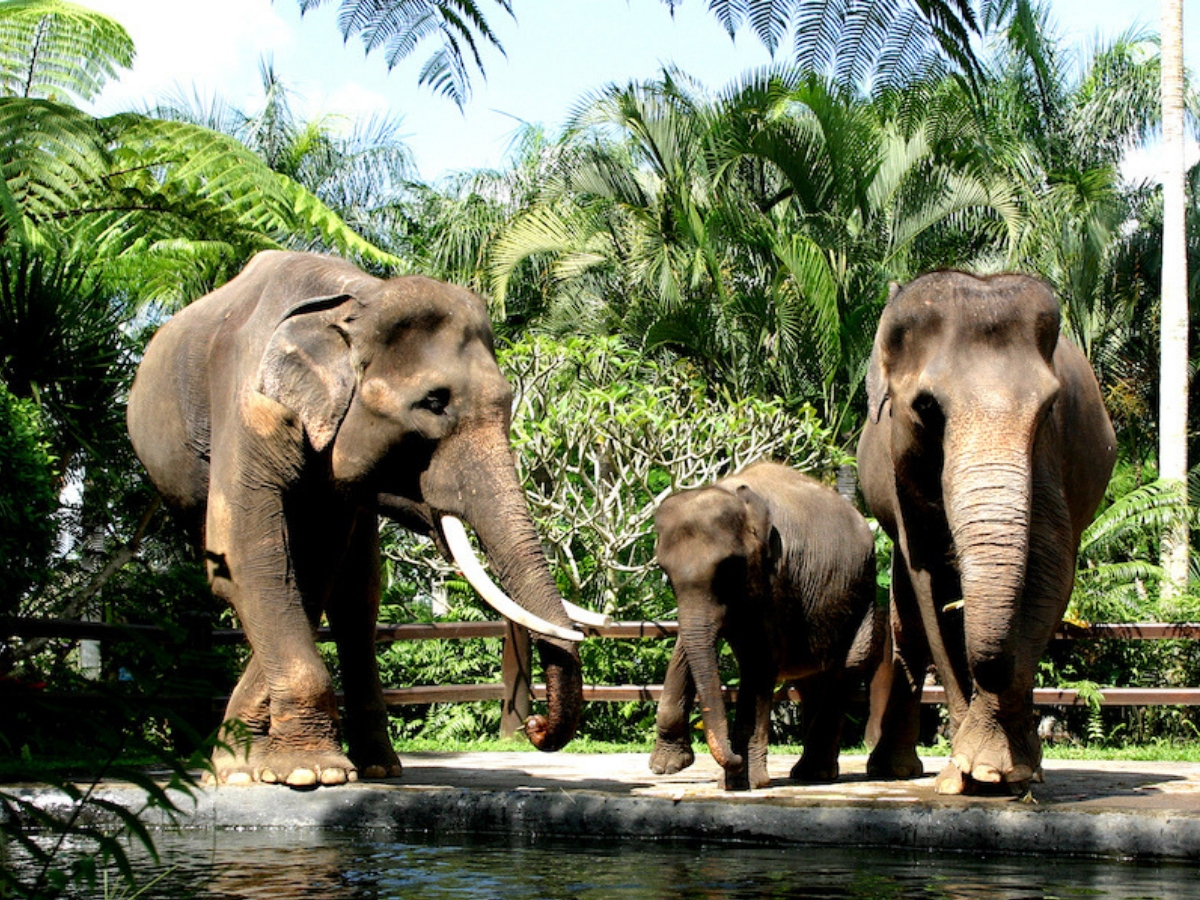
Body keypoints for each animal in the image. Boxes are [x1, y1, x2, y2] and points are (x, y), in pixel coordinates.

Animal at [127, 250, 595, 787]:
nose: (535, 726)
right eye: (434, 403)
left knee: (358, 596)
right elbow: (249, 560)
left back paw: (375, 767)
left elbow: (311, 568)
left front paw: (258, 765)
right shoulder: (248, 407)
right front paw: (304, 772)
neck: (358, 299)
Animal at [648, 460, 883, 792]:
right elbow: (686, 644)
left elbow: (759, 660)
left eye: (729, 568)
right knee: (812, 679)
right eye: (664, 572)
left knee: (848, 667)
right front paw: (666, 767)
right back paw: (810, 772)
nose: (732, 758)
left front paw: (741, 781)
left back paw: (814, 773)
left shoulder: (777, 578)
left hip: (863, 595)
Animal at [854, 270, 1113, 796]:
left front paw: (1001, 773)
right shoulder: (900, 469)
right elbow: (929, 580)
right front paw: (967, 777)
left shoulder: (1050, 453)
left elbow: (1050, 566)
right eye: (927, 407)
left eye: (1050, 406)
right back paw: (894, 770)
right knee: (908, 621)